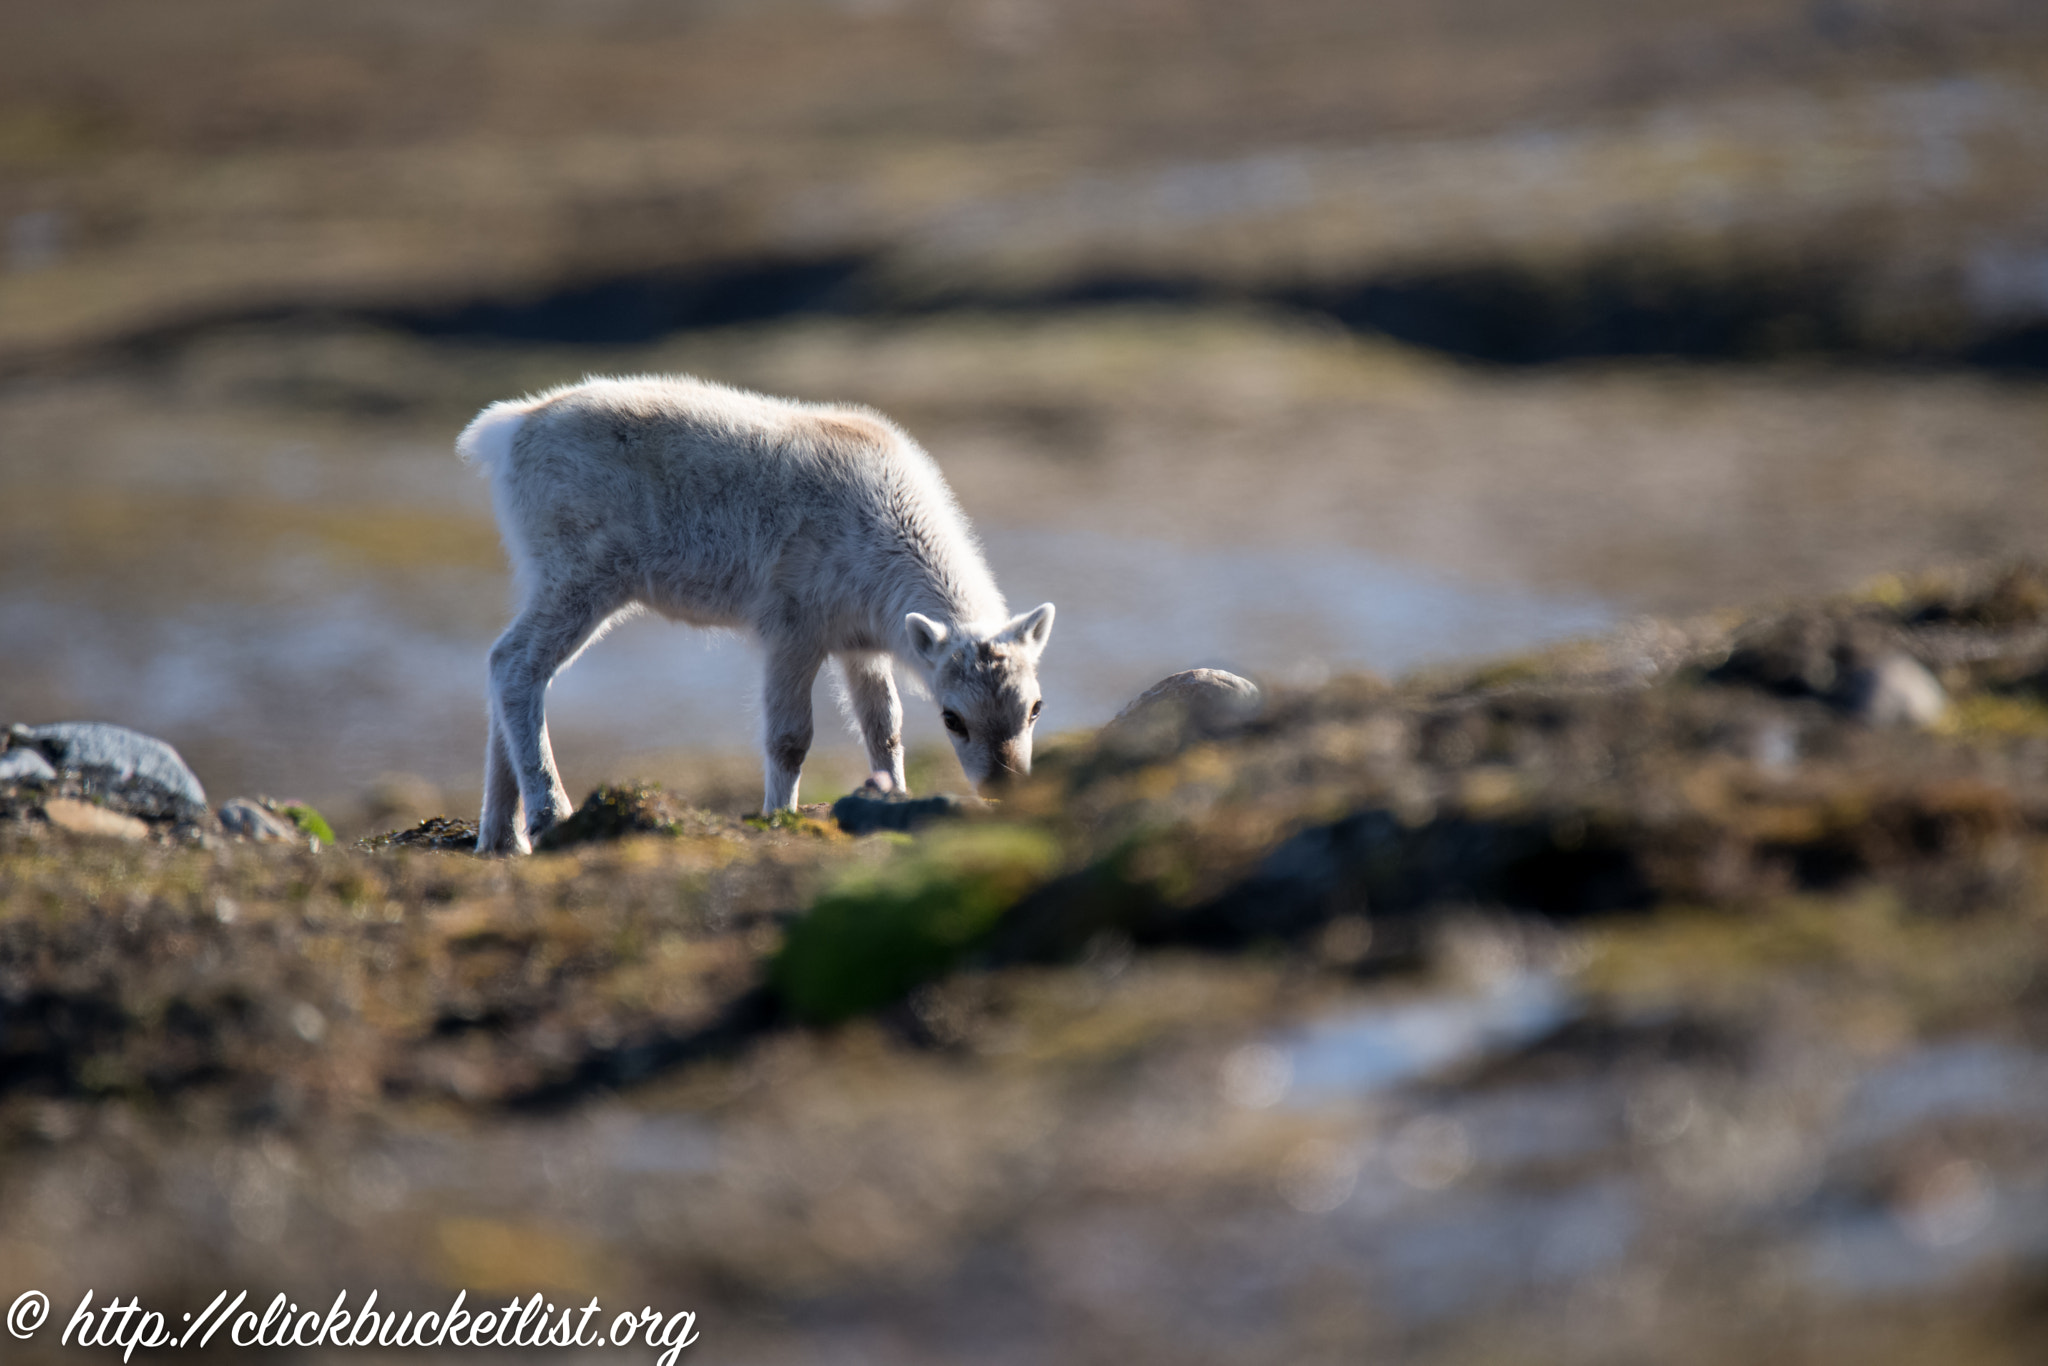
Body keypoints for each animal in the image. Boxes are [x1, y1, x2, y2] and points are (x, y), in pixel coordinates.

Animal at [460, 368, 1056, 847]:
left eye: (1035, 707)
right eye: (953, 718)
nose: (1004, 792)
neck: (879, 528)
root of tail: (506, 430)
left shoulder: (860, 646)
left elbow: (884, 727)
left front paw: (896, 798)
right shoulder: (792, 630)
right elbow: (789, 739)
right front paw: (778, 817)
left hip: (544, 577)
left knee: (507, 665)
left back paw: (501, 838)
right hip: (581, 578)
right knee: (515, 664)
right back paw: (547, 815)